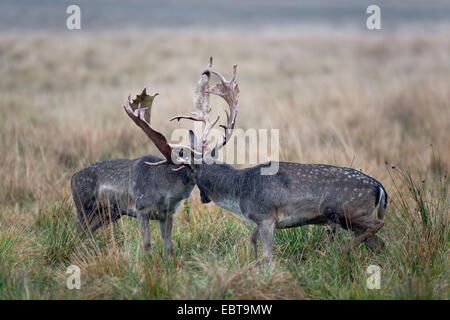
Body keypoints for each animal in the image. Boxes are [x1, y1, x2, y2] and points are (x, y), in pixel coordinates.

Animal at [123, 58, 386, 264]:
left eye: (190, 171)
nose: (203, 198)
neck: (238, 191)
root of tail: (380, 188)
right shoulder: (259, 221)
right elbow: (251, 240)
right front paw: (253, 262)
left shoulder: (266, 216)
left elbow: (268, 255)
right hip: (350, 218)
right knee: (378, 243)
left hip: (344, 209)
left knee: (376, 227)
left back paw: (342, 250)